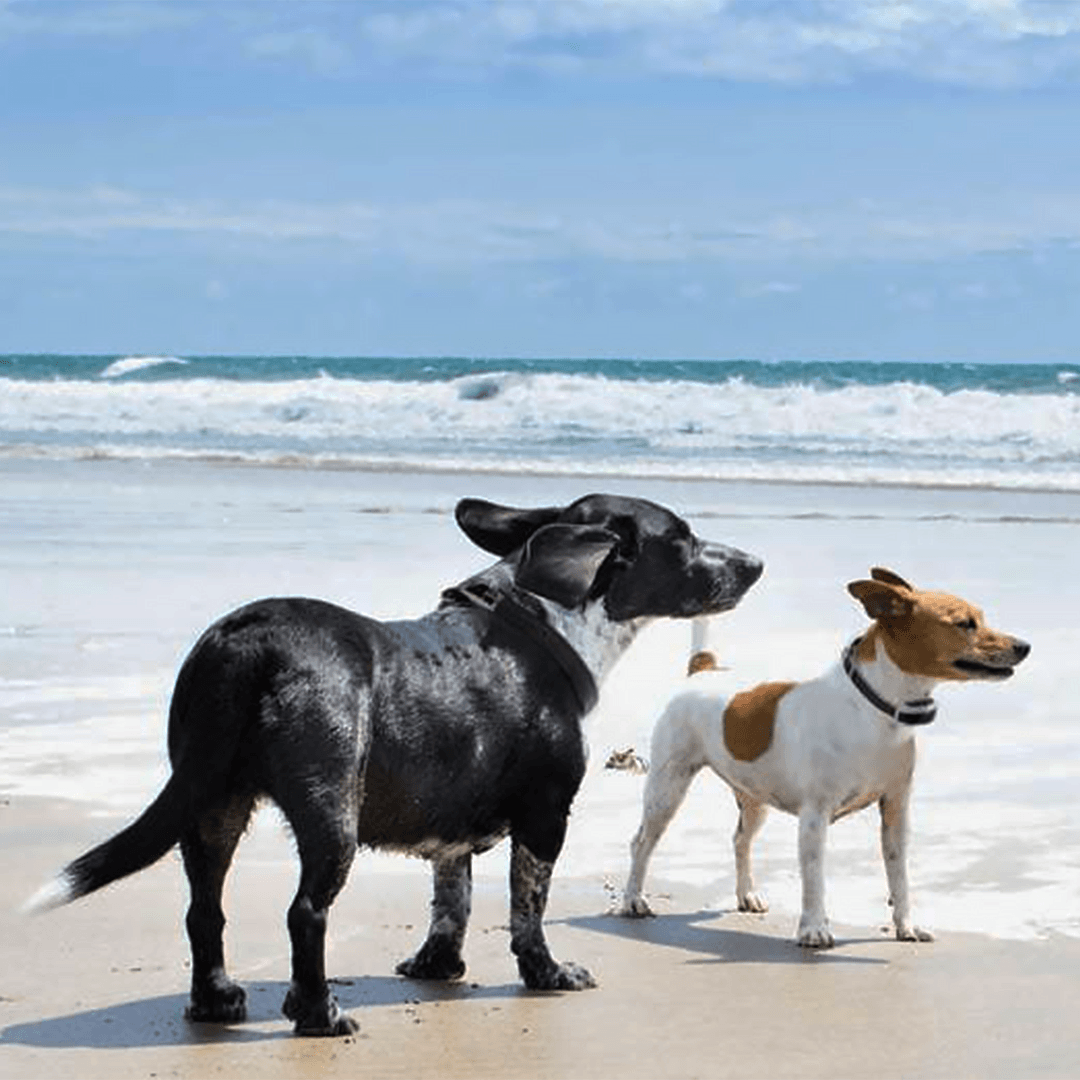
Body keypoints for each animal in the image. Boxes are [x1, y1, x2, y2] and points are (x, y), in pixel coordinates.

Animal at [27, 494, 768, 1032]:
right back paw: (319, 1014)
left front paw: (437, 967)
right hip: (331, 812)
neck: (544, 618)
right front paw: (549, 976)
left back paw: (216, 1001)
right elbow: (527, 909)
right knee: (305, 913)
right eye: (683, 540)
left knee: (203, 910)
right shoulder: (546, 815)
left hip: (211, 804)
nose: (757, 564)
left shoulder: (454, 827)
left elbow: (452, 899)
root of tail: (251, 642)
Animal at [622, 570, 1023, 950]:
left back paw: (746, 895)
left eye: (981, 618)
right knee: (641, 842)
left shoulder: (895, 809)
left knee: (740, 840)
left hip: (754, 798)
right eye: (964, 624)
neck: (874, 709)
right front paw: (814, 929)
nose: (1025, 646)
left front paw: (906, 926)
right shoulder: (815, 816)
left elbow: (900, 876)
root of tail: (703, 670)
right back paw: (632, 900)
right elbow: (814, 878)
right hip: (667, 788)